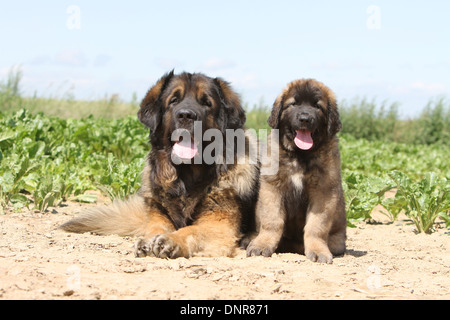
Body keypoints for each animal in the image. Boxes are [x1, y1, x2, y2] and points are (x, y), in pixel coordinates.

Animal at [61, 71, 262, 258]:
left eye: (206, 102)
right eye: (173, 100)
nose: (186, 115)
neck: (187, 177)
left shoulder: (218, 223)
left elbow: (191, 230)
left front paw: (172, 241)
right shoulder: (158, 211)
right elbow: (155, 228)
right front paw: (149, 241)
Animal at [246, 79, 344, 264]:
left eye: (317, 106)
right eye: (293, 104)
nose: (304, 118)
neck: (300, 155)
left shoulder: (323, 191)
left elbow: (316, 226)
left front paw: (318, 249)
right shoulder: (272, 186)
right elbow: (272, 220)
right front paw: (262, 244)